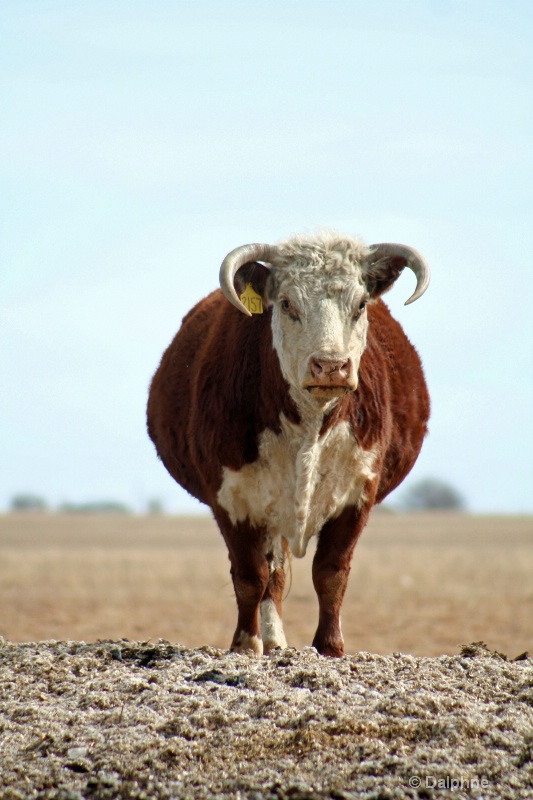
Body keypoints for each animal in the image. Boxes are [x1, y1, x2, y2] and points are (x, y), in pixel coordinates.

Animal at [148, 230, 430, 656]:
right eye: (286, 303)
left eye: (360, 304)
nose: (331, 366)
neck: (309, 426)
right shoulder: (232, 499)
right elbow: (251, 576)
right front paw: (246, 645)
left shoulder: (358, 492)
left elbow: (331, 573)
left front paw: (329, 647)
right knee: (272, 575)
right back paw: (272, 641)